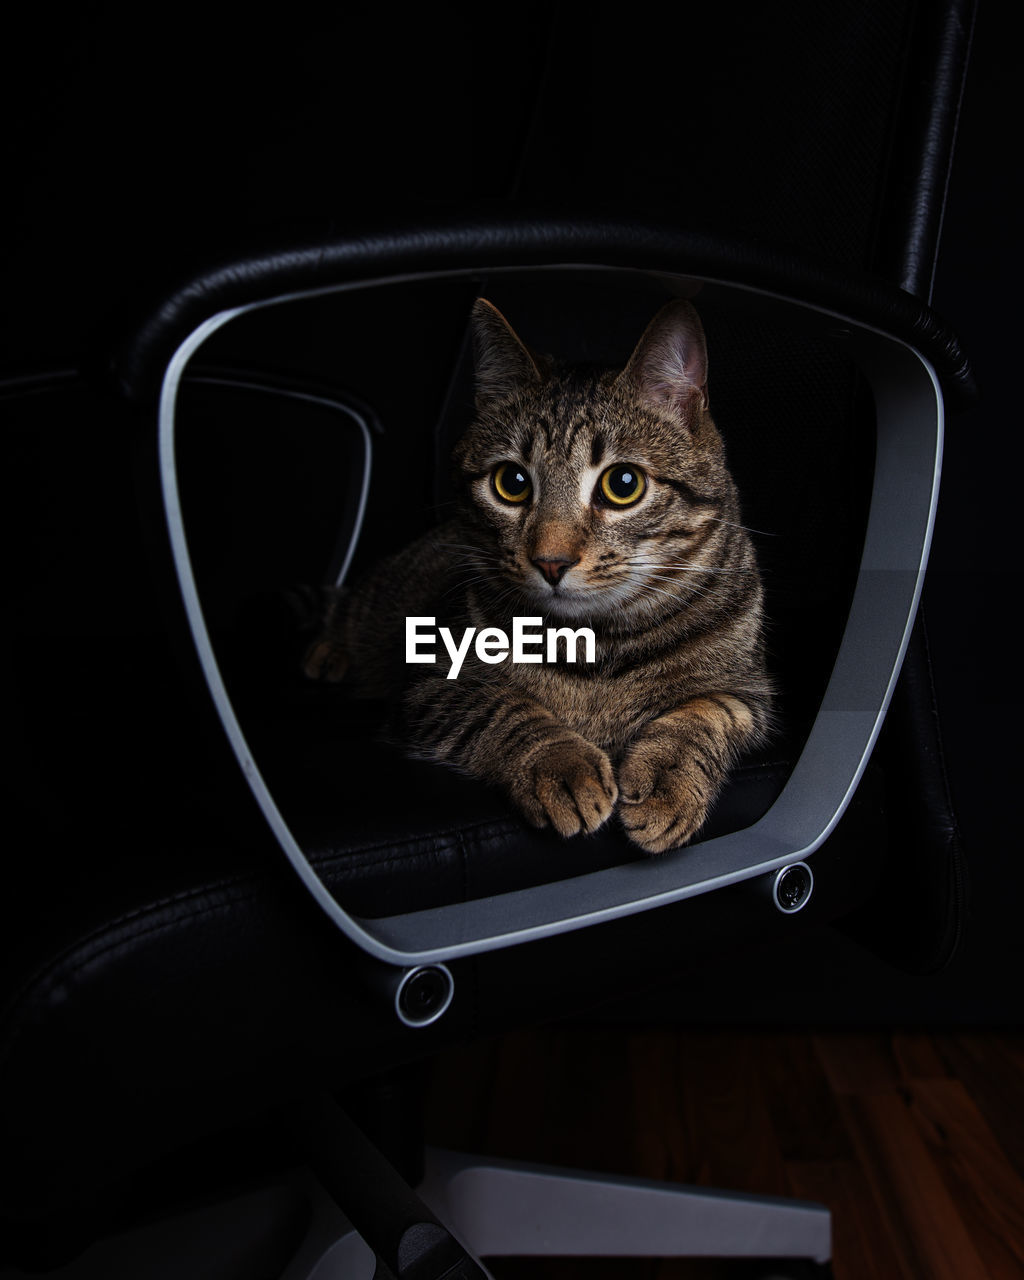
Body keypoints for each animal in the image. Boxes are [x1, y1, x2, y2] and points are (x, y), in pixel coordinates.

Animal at [308, 299, 773, 855]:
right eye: (511, 482)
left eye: (623, 484)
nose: (551, 561)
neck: (597, 651)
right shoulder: (432, 682)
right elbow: (505, 710)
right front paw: (562, 767)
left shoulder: (748, 692)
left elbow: (704, 716)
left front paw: (668, 785)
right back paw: (328, 654)